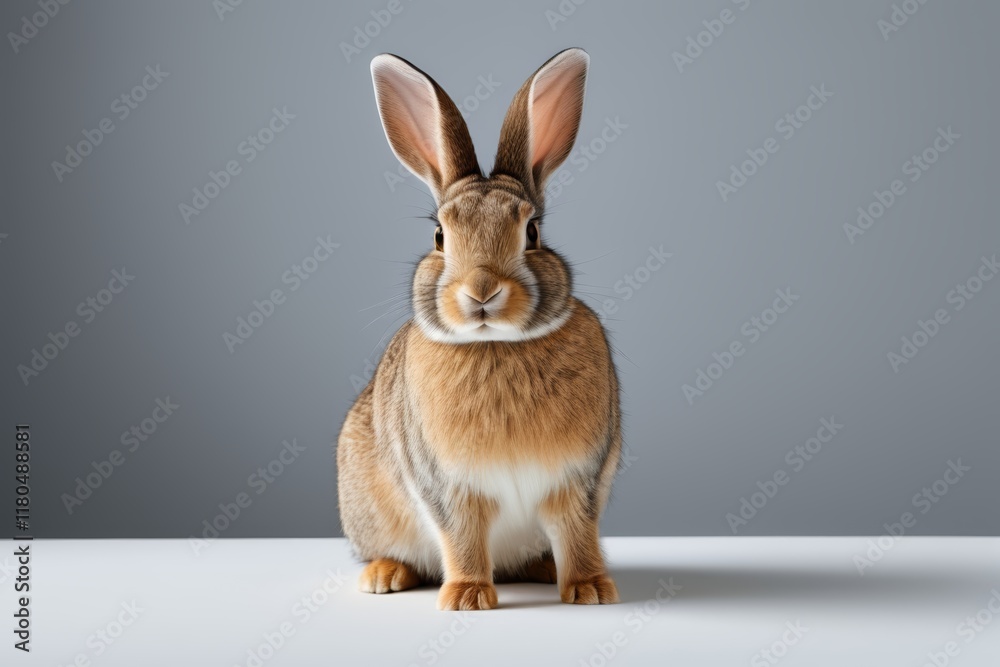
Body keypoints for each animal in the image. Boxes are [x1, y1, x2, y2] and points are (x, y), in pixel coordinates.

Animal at [337, 48, 621, 610]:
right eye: (439, 235)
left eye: (532, 232)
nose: (483, 290)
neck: (495, 344)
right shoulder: (448, 488)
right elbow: (463, 537)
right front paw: (467, 596)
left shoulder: (579, 480)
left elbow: (576, 531)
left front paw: (591, 589)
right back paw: (384, 575)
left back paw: (544, 569)